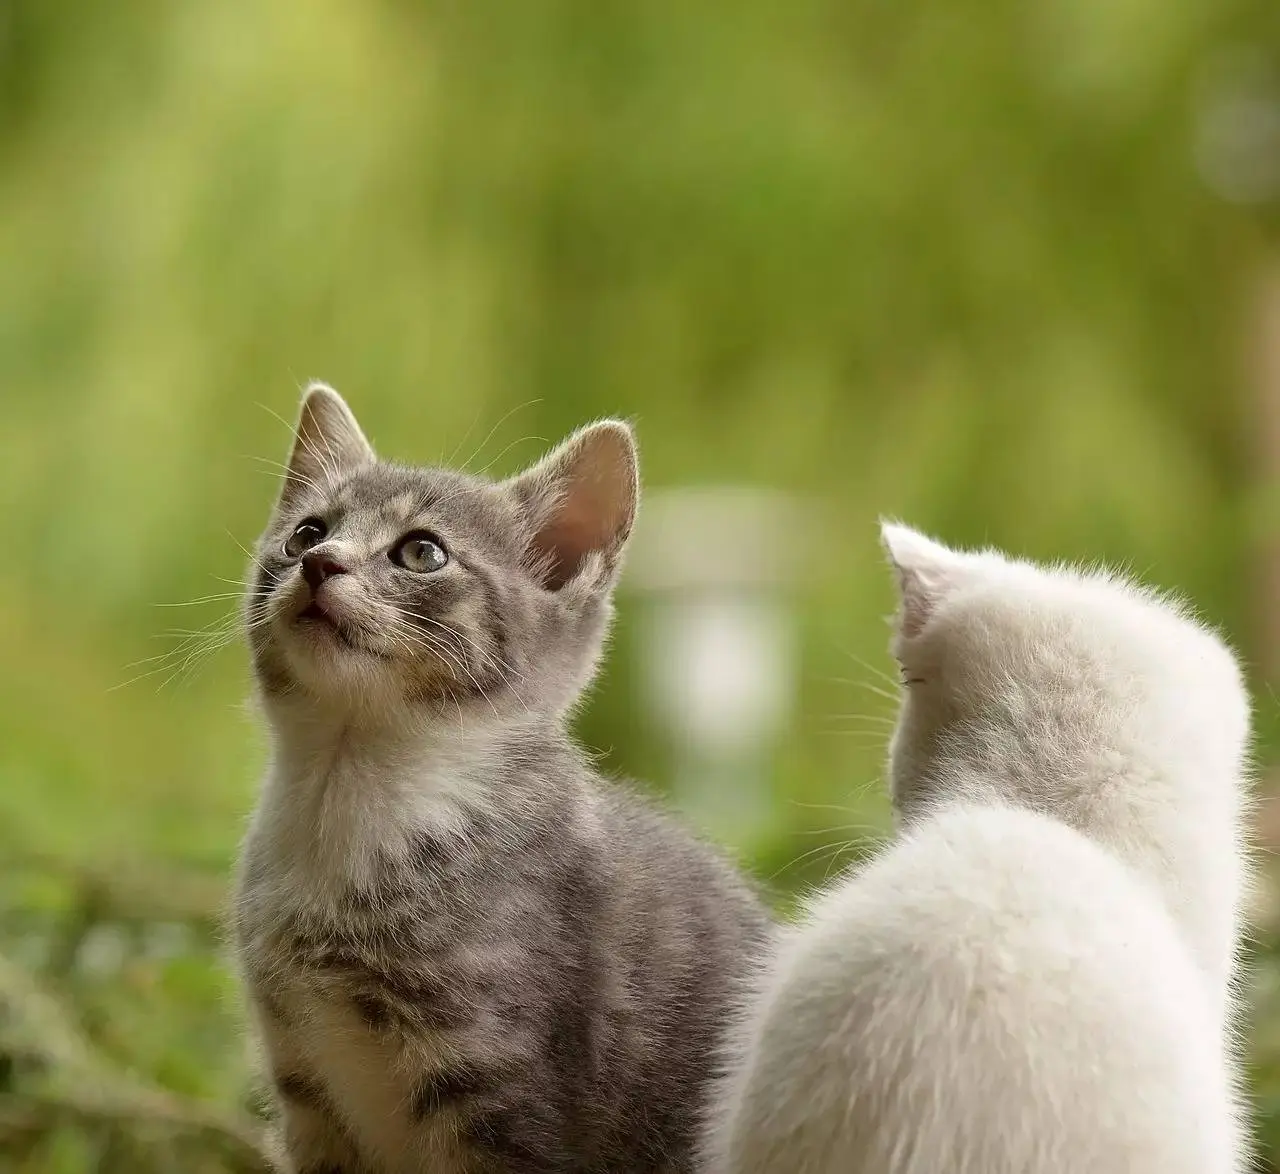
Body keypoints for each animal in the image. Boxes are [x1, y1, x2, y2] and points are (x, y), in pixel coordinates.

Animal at [230, 386, 768, 1172]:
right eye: (307, 531)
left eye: (421, 551)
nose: (320, 563)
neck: (349, 796)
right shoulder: (307, 1090)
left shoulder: (501, 1093)